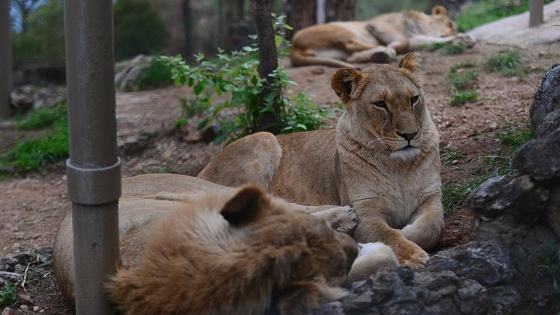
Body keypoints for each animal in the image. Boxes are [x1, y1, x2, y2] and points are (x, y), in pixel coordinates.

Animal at [199, 53, 444, 270]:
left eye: (414, 99)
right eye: (380, 104)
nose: (410, 134)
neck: (397, 166)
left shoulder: (431, 198)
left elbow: (431, 227)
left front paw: (407, 234)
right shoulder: (365, 210)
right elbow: (387, 234)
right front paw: (412, 254)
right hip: (263, 139)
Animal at [290, 4, 474, 67]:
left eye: (454, 28)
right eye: (450, 25)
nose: (454, 31)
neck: (419, 28)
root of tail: (294, 47)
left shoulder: (416, 38)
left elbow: (429, 41)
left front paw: (464, 39)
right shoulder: (378, 25)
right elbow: (403, 41)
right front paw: (392, 46)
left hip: (337, 50)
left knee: (351, 56)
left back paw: (380, 54)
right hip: (340, 29)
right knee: (352, 45)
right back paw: (385, 51)